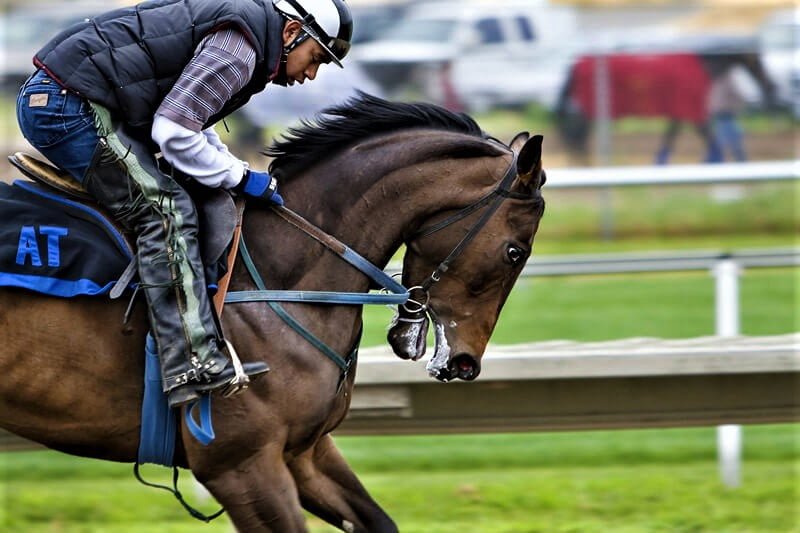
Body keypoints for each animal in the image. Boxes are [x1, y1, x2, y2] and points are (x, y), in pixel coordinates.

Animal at [0, 93, 546, 532]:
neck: (278, 274)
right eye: (515, 252)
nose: (465, 364)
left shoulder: (303, 451)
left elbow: (378, 520)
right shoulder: (240, 465)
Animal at [554, 47, 777, 164]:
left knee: (576, 133)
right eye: (756, 58)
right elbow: (710, 138)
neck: (701, 66)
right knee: (577, 133)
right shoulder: (692, 111)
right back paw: (581, 162)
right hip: (589, 109)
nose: (770, 86)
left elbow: (670, 138)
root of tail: (577, 63)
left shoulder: (678, 112)